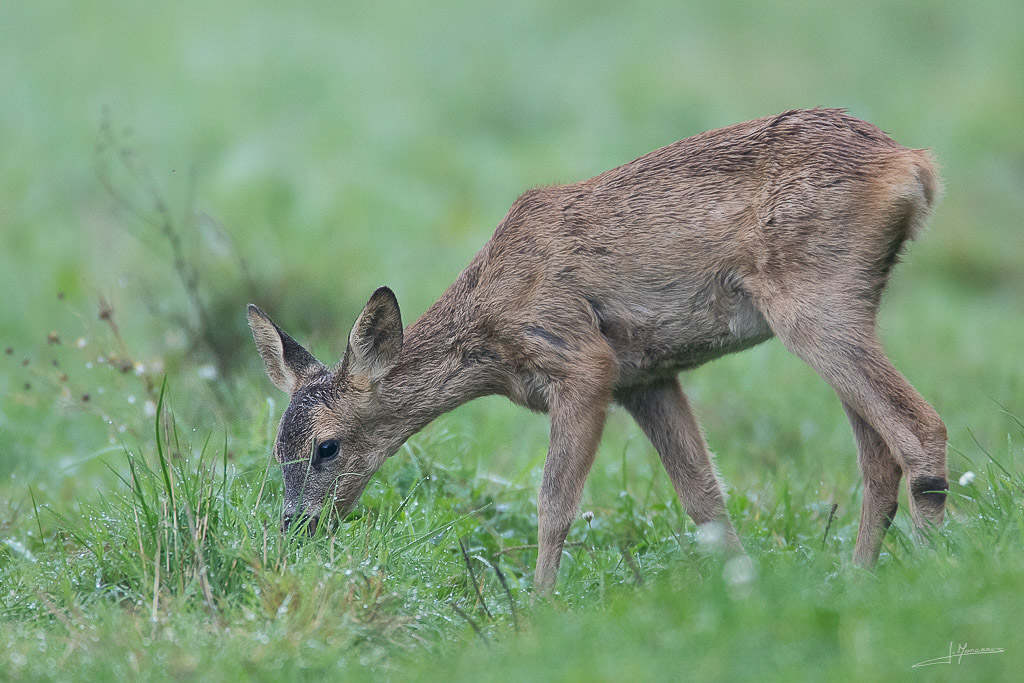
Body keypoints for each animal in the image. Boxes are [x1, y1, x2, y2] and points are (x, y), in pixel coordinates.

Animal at [245, 108, 942, 593]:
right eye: (276, 449)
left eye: (327, 447)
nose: (296, 529)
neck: (490, 327)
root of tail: (911, 164)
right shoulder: (646, 378)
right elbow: (704, 497)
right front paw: (746, 589)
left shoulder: (582, 361)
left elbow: (554, 503)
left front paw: (536, 608)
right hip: (845, 303)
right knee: (878, 456)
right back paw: (858, 578)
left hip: (813, 302)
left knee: (919, 428)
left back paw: (934, 572)